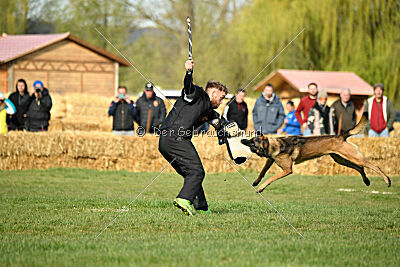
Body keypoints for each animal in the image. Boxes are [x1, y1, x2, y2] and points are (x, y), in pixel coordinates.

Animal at [241, 116, 390, 194]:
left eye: (252, 142)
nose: (243, 140)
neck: (273, 145)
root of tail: (341, 136)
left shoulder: (287, 170)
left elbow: (271, 177)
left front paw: (261, 188)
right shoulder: (270, 160)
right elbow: (263, 171)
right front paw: (256, 182)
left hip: (353, 157)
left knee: (374, 166)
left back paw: (387, 180)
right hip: (341, 160)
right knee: (360, 168)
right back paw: (366, 181)